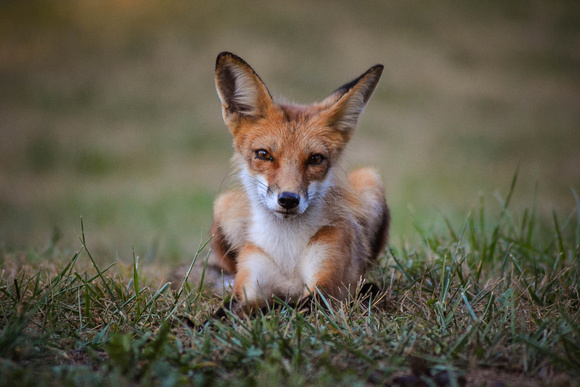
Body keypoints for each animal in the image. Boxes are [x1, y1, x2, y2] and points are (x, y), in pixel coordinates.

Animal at [210, 53, 390, 310]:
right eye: (263, 154)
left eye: (315, 159)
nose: (288, 199)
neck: (287, 251)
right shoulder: (247, 284)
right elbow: (224, 313)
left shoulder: (325, 288)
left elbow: (284, 307)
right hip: (223, 208)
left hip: (369, 180)